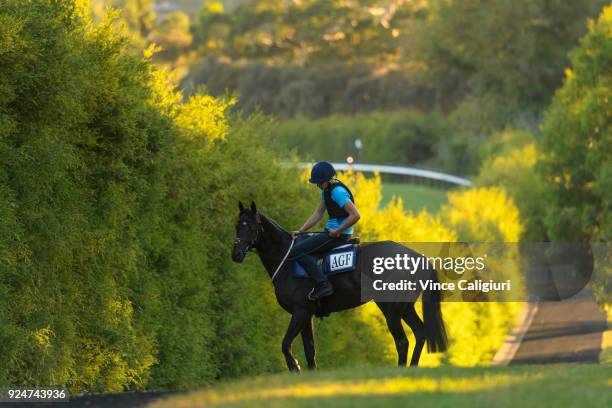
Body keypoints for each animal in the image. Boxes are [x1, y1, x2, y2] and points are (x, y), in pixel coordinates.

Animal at [232, 202, 448, 372]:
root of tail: (418, 257)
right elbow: (310, 351)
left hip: (391, 309)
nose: (236, 254)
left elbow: (285, 344)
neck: (287, 259)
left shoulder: (300, 312)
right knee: (420, 333)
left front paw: (295, 367)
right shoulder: (307, 315)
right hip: (404, 307)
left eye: (251, 226)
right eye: (237, 226)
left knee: (402, 341)